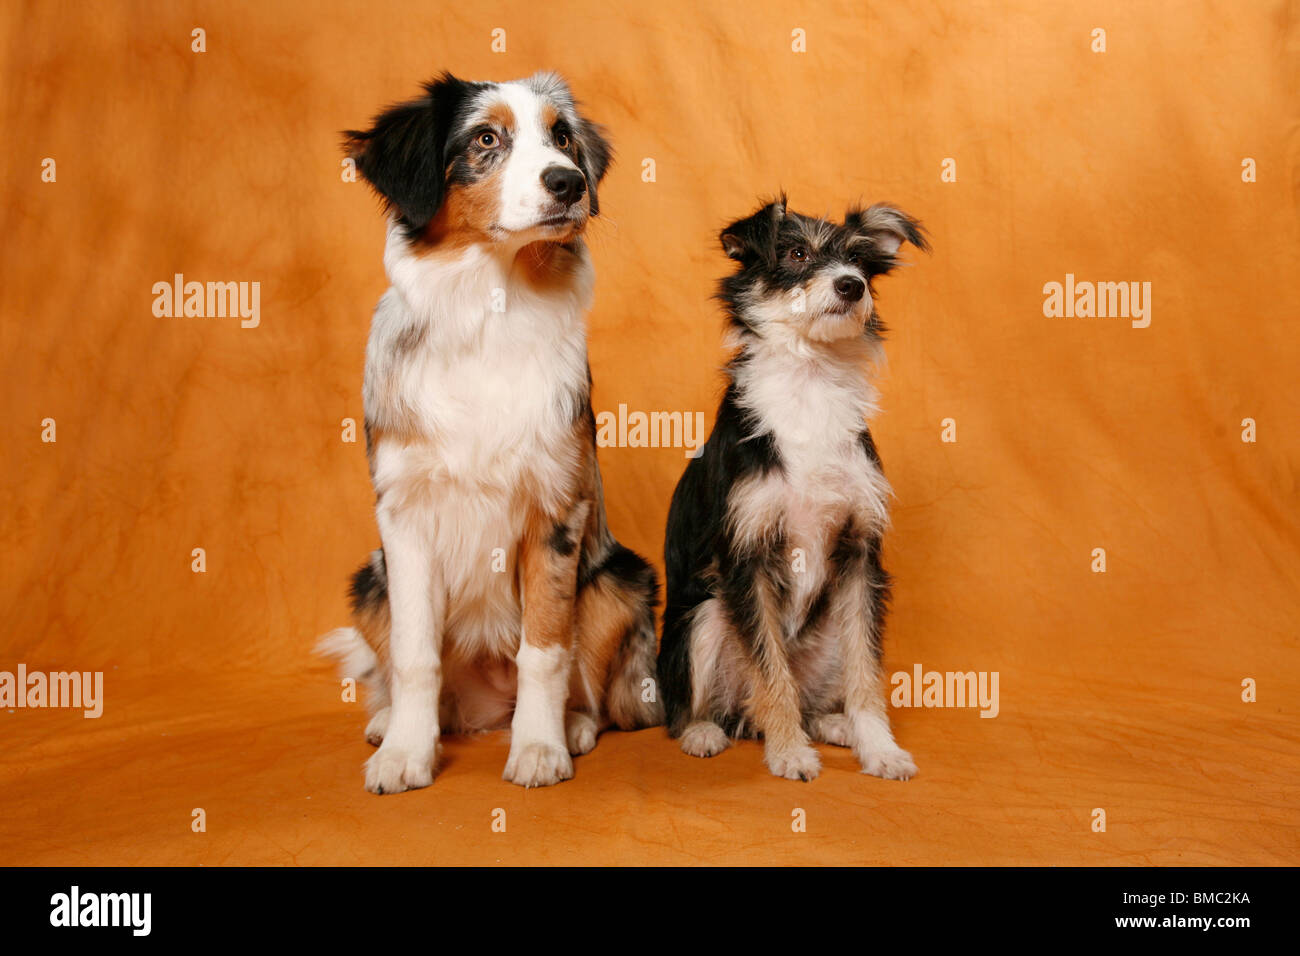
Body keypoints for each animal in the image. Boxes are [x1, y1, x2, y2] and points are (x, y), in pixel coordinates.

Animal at [315, 72, 660, 790]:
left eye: (563, 138)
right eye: (484, 139)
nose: (569, 183)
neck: (489, 307)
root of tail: (485, 706)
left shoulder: (557, 508)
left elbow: (545, 648)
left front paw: (539, 748)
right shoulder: (404, 514)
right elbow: (415, 655)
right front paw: (406, 754)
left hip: (619, 581)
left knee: (590, 687)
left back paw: (573, 727)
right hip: (369, 582)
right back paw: (395, 722)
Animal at [660, 196, 925, 785]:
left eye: (861, 260)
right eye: (796, 253)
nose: (851, 285)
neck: (811, 379)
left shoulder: (860, 556)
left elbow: (866, 672)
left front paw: (881, 748)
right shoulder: (745, 557)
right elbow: (769, 668)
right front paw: (788, 753)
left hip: (827, 636)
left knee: (817, 691)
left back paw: (832, 724)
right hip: (703, 619)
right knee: (705, 706)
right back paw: (708, 732)